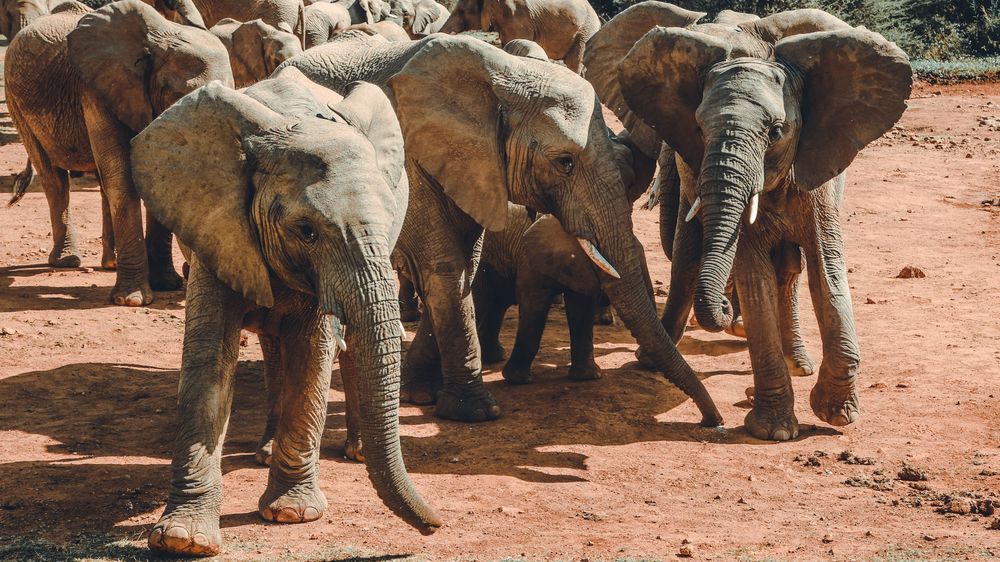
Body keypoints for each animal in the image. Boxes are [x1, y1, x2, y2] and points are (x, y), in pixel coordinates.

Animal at [4, 0, 232, 306]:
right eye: (177, 95)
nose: (187, 272)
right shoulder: (97, 90)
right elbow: (122, 177)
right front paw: (132, 300)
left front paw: (166, 285)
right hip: (16, 101)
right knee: (54, 179)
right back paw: (67, 261)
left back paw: (109, 264)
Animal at [130, 68, 441, 557]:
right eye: (306, 231)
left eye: (389, 215)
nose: (436, 526)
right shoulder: (217, 225)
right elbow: (208, 361)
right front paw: (184, 540)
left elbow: (312, 355)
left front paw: (292, 514)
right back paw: (264, 453)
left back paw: (353, 454)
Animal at [279, 32, 723, 426]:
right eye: (564, 162)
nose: (712, 422)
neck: (503, 79)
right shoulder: (411, 155)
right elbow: (443, 267)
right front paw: (473, 413)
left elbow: (466, 266)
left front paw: (421, 393)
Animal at [585, 2, 912, 440]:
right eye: (699, 128)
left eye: (775, 132)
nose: (725, 308)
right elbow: (753, 274)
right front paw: (774, 432)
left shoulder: (816, 170)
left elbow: (827, 269)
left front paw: (837, 414)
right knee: (701, 257)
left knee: (788, 267)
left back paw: (798, 364)